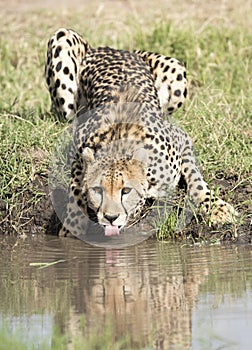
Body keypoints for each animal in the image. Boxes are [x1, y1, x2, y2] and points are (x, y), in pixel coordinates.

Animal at [45, 28, 238, 238]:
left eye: (125, 190)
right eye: (98, 190)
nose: (110, 217)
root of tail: (111, 48)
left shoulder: (182, 139)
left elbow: (196, 180)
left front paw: (216, 208)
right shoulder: (78, 147)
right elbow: (75, 190)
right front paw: (71, 227)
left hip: (177, 71)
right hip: (62, 41)